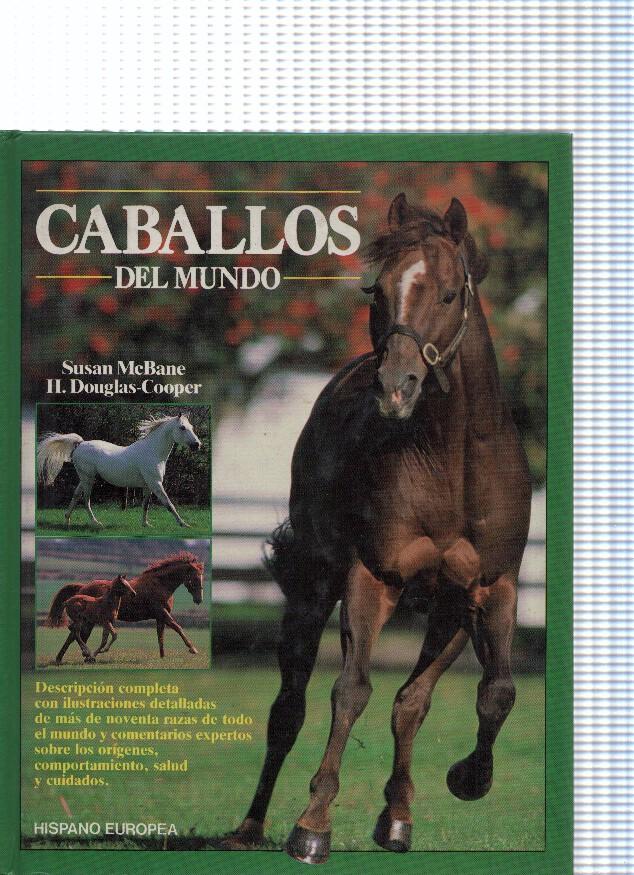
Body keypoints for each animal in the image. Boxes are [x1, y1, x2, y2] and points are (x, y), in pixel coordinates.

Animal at [37, 412, 202, 529]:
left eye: (192, 427)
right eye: (182, 427)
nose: (197, 445)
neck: (153, 452)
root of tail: (80, 444)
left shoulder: (148, 486)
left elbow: (146, 505)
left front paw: (146, 524)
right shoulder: (155, 483)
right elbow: (168, 503)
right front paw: (184, 524)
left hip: (84, 478)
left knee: (76, 495)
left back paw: (67, 521)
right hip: (88, 478)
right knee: (85, 499)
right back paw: (96, 523)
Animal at [46, 551, 205, 664]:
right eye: (195, 578)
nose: (199, 600)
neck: (160, 584)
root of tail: (82, 587)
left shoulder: (160, 616)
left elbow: (161, 636)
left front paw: (162, 657)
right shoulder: (162, 612)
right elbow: (177, 627)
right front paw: (193, 649)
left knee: (76, 635)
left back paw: (72, 657)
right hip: (88, 621)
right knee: (75, 635)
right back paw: (79, 656)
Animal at [223, 195, 532, 862]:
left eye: (448, 292)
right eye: (377, 290)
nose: (395, 388)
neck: (451, 467)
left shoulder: (489, 588)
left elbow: (493, 693)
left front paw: (466, 780)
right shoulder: (372, 579)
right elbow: (350, 691)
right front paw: (311, 827)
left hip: (444, 612)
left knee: (411, 703)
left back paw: (397, 819)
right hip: (312, 592)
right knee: (288, 709)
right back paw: (250, 827)